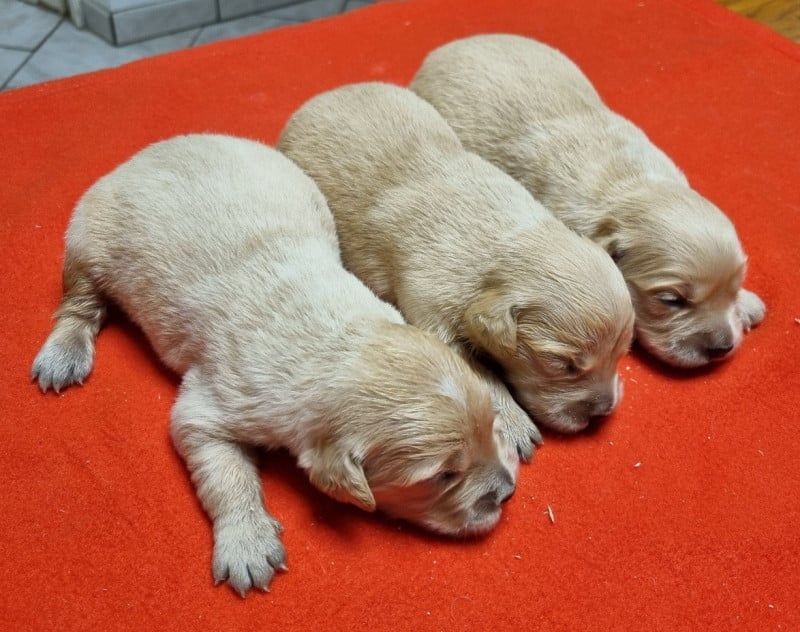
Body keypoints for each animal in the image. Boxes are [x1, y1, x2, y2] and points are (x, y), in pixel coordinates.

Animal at [31, 134, 517, 597]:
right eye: (444, 475)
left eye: (492, 424)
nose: (508, 492)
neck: (337, 342)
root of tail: (145, 153)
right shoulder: (215, 402)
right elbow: (223, 468)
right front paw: (247, 542)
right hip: (87, 237)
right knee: (79, 304)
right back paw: (63, 355)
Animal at [278, 82, 634, 450]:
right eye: (562, 364)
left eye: (623, 351)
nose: (603, 412)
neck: (507, 243)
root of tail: (332, 92)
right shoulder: (433, 308)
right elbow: (476, 372)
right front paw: (515, 424)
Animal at [410, 34, 766, 368]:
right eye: (671, 300)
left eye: (734, 286)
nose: (722, 348)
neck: (631, 186)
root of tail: (448, 47)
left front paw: (747, 303)